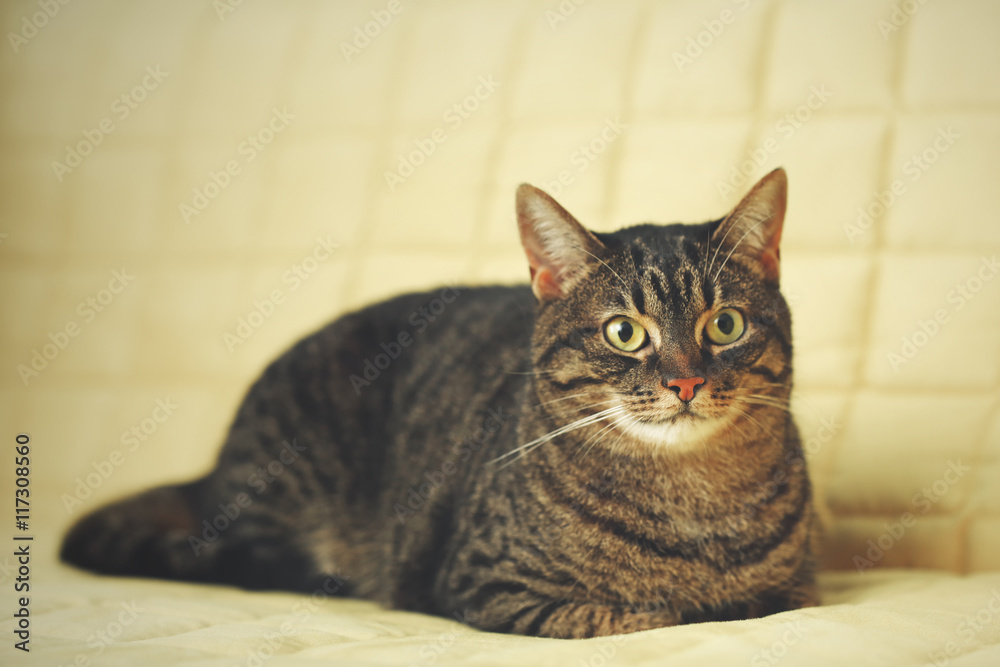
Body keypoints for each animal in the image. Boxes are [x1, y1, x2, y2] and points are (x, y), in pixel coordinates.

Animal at [60, 167, 820, 636]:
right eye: (624, 332)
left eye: (725, 325)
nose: (685, 381)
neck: (695, 503)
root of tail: (212, 470)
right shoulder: (487, 585)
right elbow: (649, 614)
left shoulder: (800, 587)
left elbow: (761, 601)